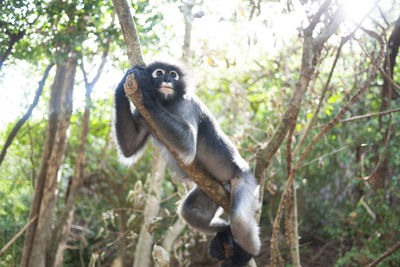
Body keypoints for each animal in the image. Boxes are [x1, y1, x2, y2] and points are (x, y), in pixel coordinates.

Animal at [114, 62, 260, 266]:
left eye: (173, 74)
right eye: (159, 73)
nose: (167, 79)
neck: (167, 103)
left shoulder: (187, 104)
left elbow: (188, 143)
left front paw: (146, 89)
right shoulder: (142, 115)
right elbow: (129, 147)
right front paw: (121, 85)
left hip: (245, 180)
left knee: (239, 218)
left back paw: (247, 253)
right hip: (213, 189)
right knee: (188, 211)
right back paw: (225, 233)